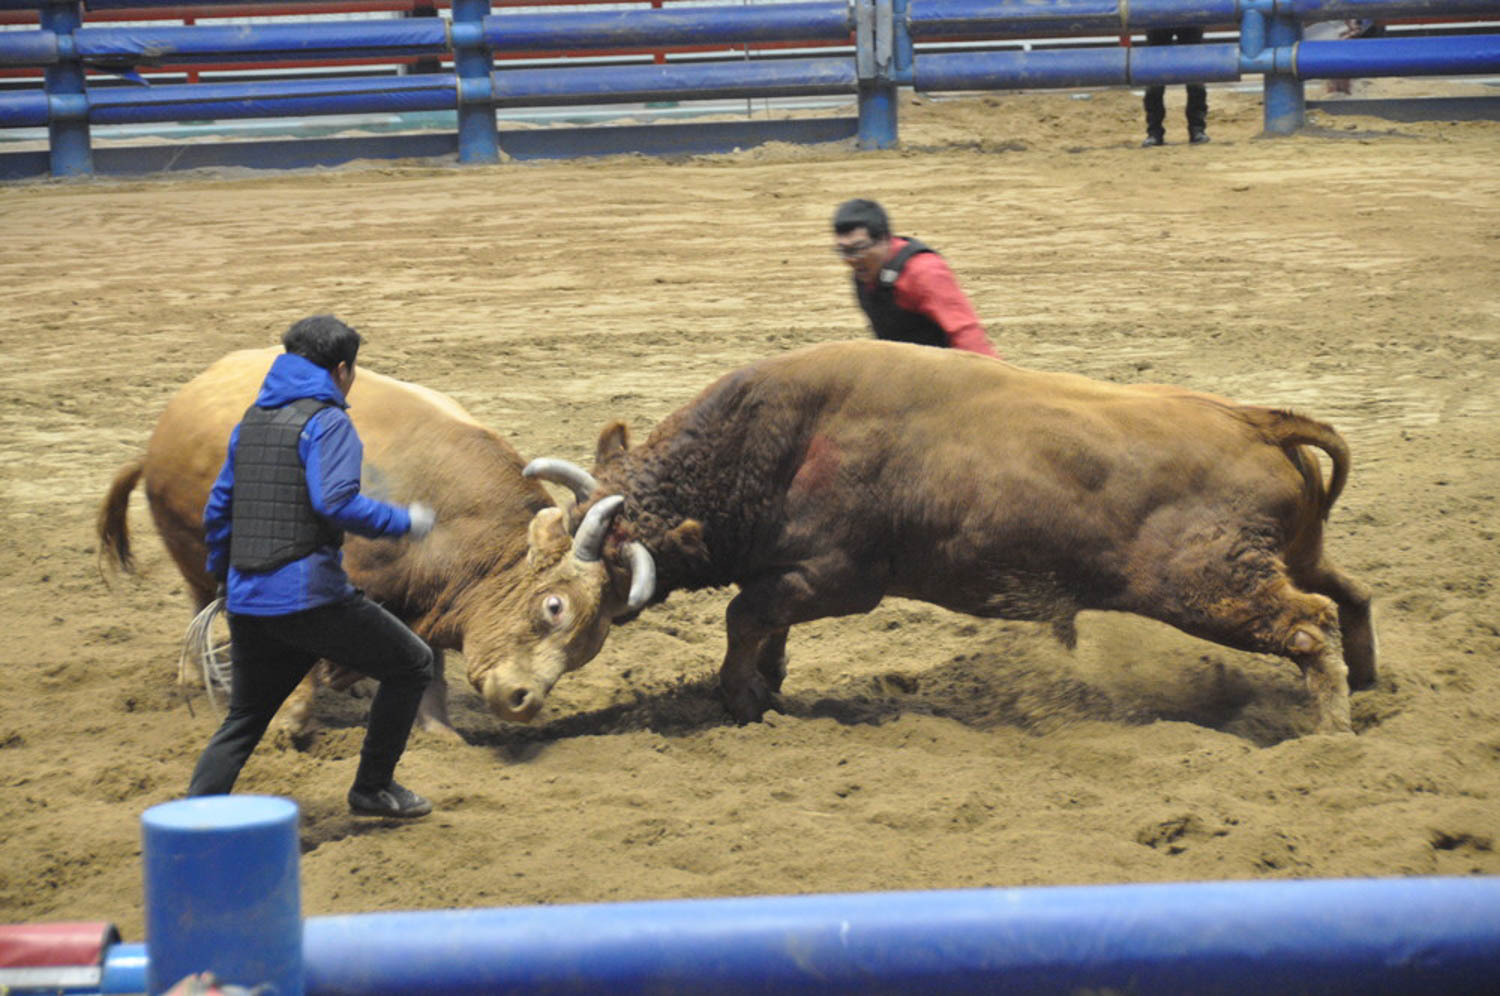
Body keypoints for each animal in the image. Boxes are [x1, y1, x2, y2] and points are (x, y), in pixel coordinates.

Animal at [98, 348, 651, 732]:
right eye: (554, 606)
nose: (524, 701)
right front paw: (287, 721)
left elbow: (430, 668)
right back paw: (194, 673)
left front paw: (439, 733)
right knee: (198, 600)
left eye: (590, 646)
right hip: (189, 546)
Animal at [516, 339, 1374, 735]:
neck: (776, 442)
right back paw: (1366, 686)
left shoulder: (840, 579)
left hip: (1209, 586)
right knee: (1351, 595)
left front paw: (742, 696)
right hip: (1288, 556)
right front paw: (767, 681)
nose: (507, 690)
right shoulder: (794, 577)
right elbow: (763, 623)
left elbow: (744, 615)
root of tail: (1253, 419)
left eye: (564, 605)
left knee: (1309, 624)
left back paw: (1329, 729)